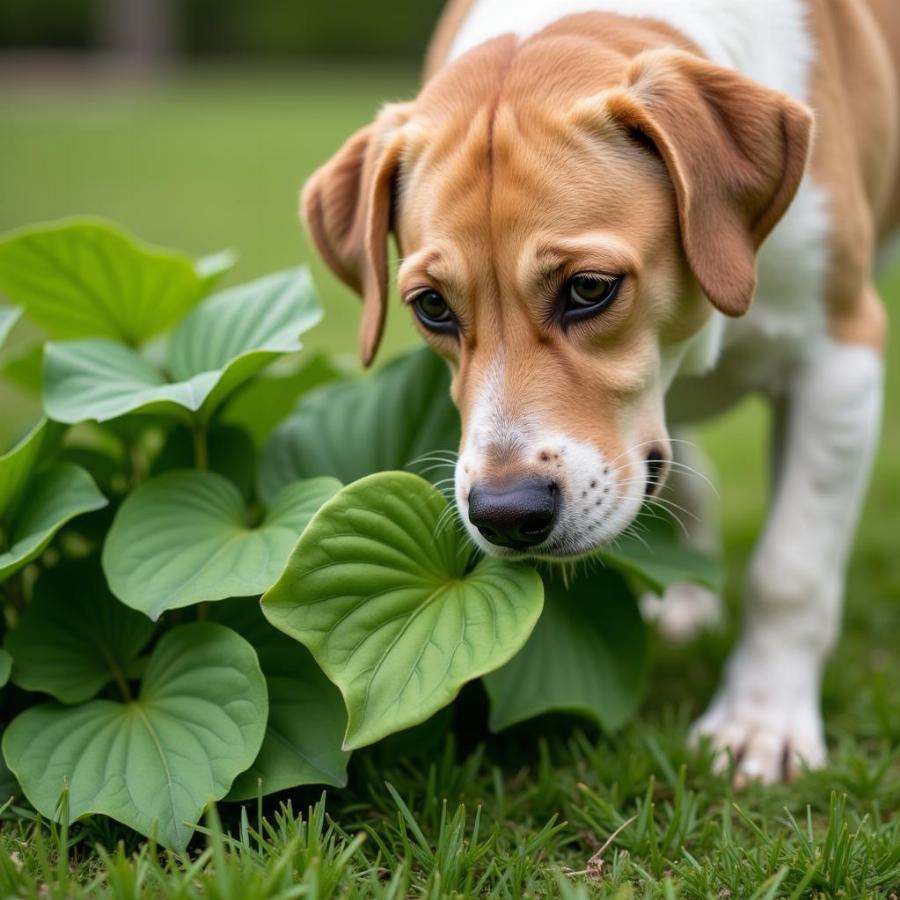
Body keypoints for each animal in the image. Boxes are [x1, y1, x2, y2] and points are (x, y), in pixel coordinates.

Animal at [298, 0, 896, 784]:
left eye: (589, 289)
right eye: (432, 307)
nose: (506, 514)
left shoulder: (839, 360)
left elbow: (789, 568)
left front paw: (759, 725)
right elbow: (680, 479)